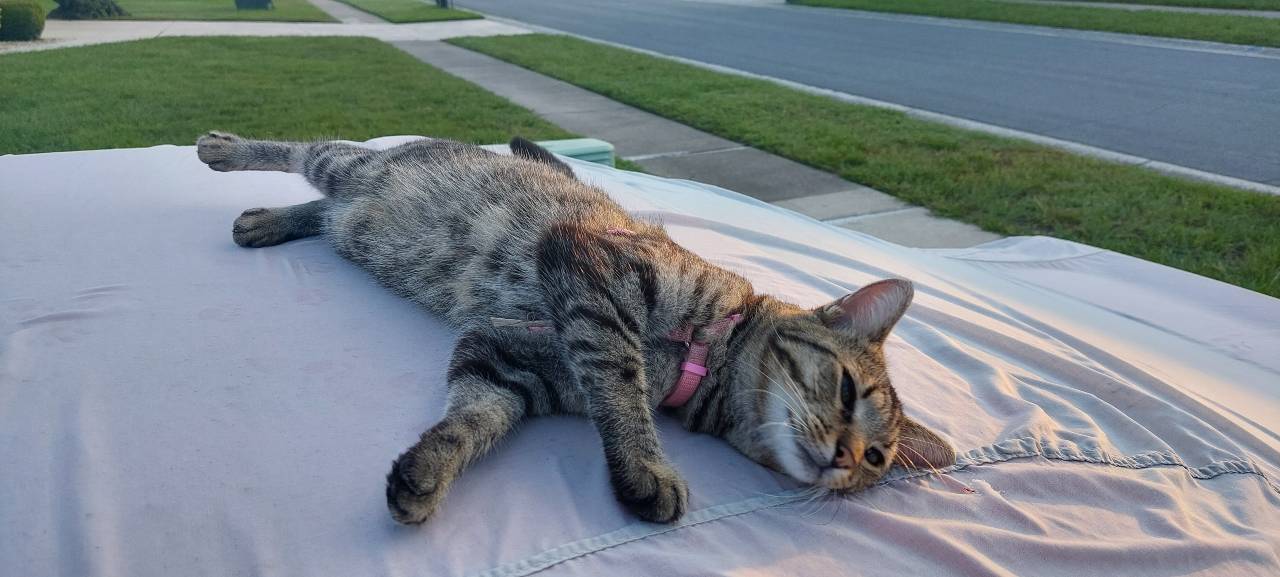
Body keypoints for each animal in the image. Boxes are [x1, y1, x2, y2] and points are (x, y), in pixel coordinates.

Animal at [194, 132, 957, 529]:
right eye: (848, 390)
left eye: (877, 460)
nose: (845, 460)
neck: (702, 363)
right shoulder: (590, 262)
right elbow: (618, 373)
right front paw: (647, 469)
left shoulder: (505, 358)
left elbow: (474, 419)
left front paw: (428, 469)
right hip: (355, 163)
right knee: (309, 152)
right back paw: (227, 150)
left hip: (355, 215)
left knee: (326, 212)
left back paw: (269, 221)